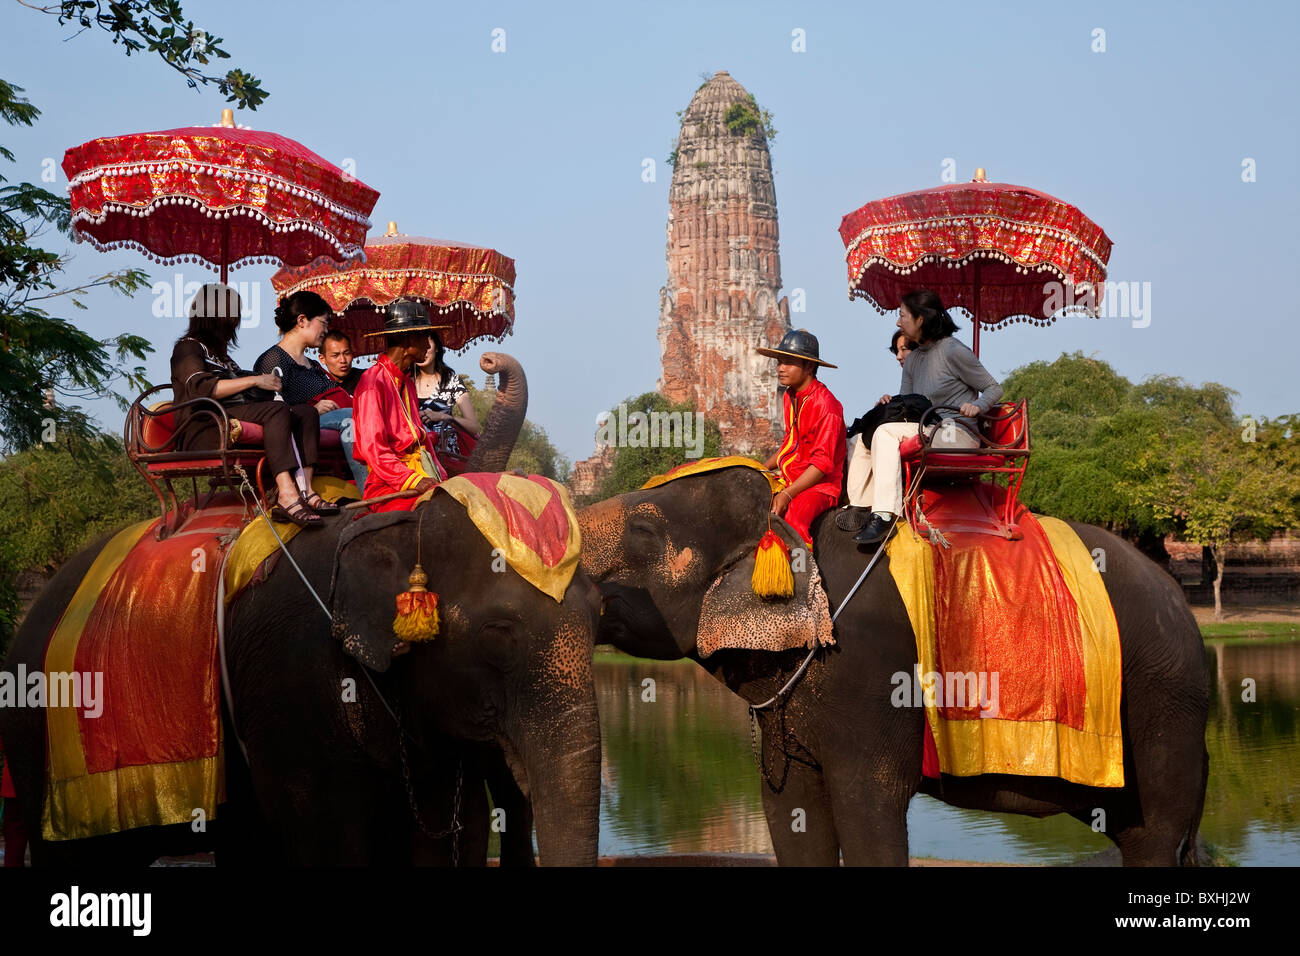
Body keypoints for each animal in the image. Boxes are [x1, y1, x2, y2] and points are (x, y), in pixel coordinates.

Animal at [0, 351, 598, 868]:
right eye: (498, 634)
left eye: (598, 625)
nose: (488, 363)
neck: (388, 519)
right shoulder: (290, 675)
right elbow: (328, 843)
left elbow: (454, 833)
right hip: (46, 733)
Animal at [579, 468, 1206, 868]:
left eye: (643, 531)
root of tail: (1182, 604)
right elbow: (789, 812)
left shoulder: (872, 677)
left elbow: (869, 813)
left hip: (1163, 702)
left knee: (1155, 837)